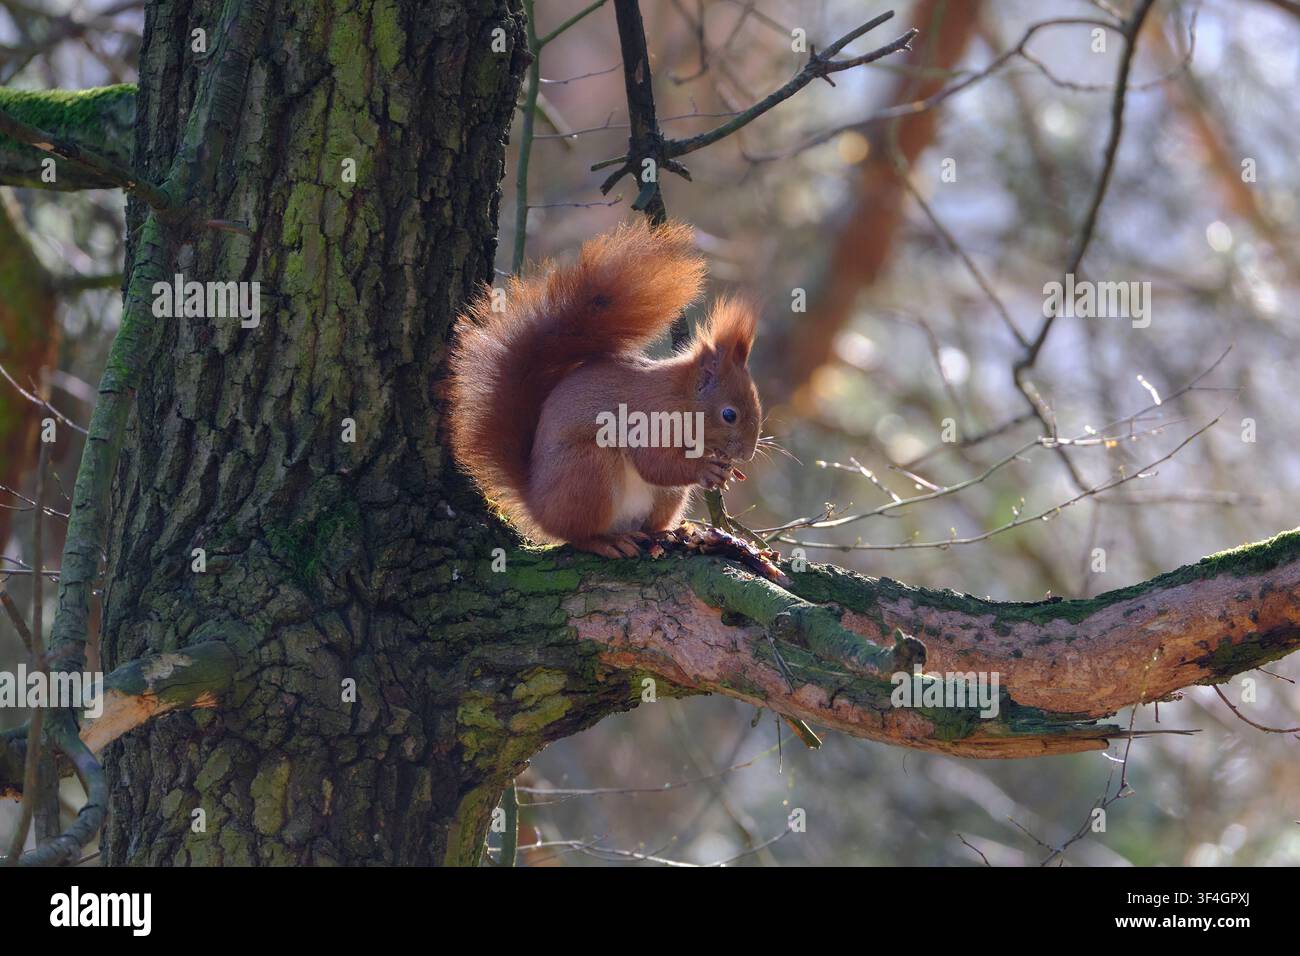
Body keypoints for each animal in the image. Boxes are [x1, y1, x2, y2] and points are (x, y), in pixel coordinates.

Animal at [446, 219, 762, 559]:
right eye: (729, 414)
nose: (746, 455)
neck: (683, 398)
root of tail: (538, 506)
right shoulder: (649, 417)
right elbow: (654, 463)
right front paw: (706, 469)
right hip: (590, 471)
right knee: (577, 534)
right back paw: (607, 542)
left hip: (666, 498)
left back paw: (670, 531)